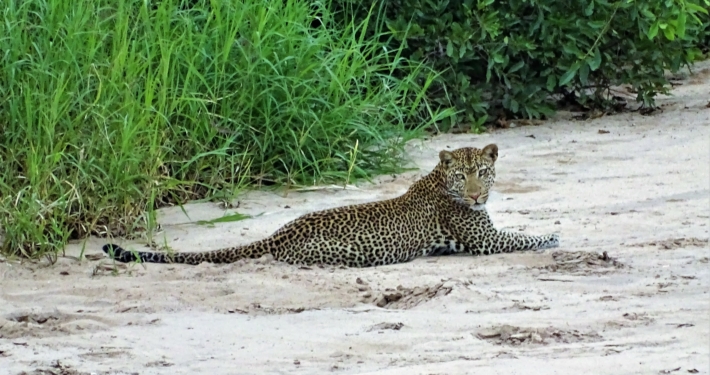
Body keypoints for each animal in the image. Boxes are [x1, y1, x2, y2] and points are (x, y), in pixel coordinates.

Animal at [104, 142, 560, 268]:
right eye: (462, 175)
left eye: (482, 171)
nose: (476, 195)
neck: (439, 181)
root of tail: (280, 232)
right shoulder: (486, 241)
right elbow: (525, 238)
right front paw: (554, 235)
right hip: (344, 254)